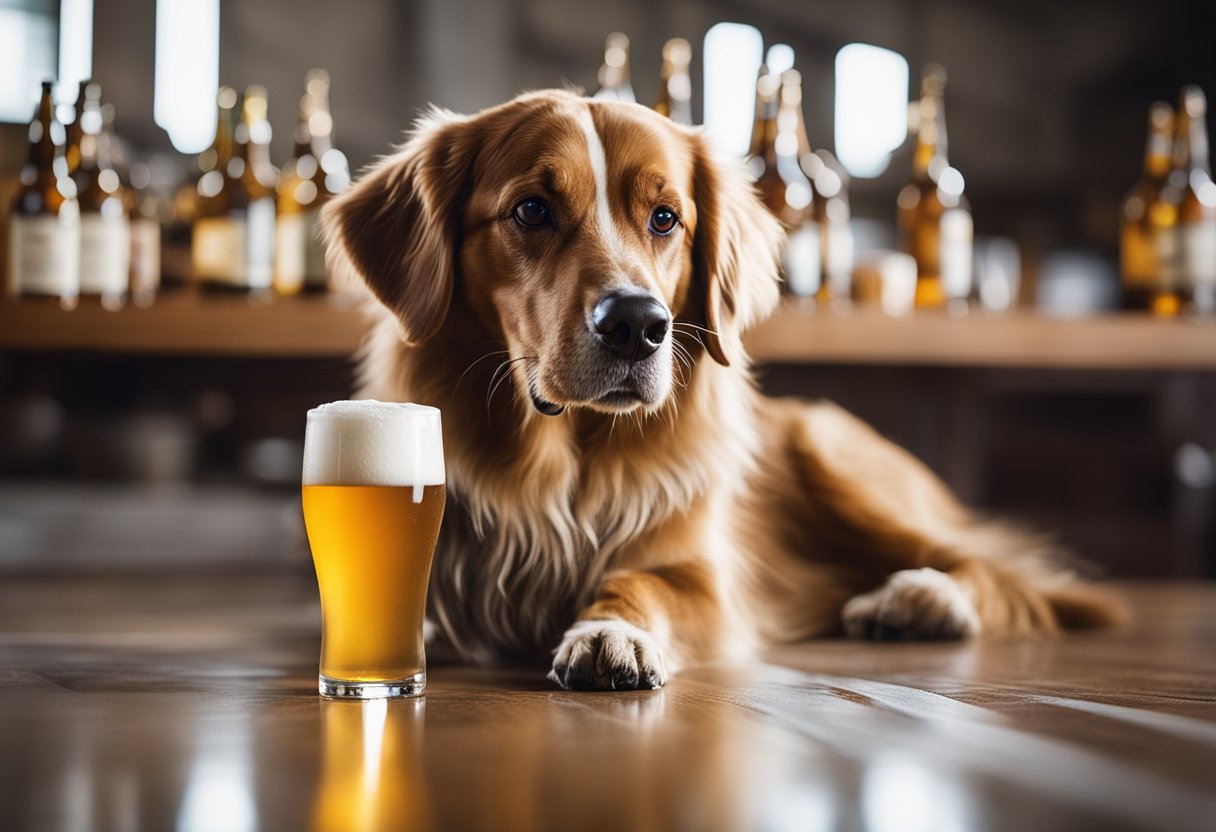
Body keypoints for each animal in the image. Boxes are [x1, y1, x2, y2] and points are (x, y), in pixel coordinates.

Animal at [321, 87, 1118, 690]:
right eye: (531, 210)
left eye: (665, 217)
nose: (638, 325)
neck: (562, 456)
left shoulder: (703, 581)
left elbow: (641, 583)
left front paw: (610, 631)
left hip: (837, 456)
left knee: (995, 570)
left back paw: (920, 598)